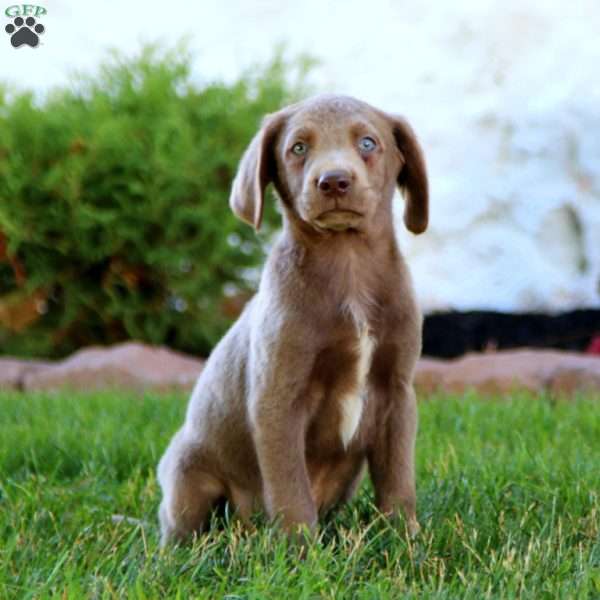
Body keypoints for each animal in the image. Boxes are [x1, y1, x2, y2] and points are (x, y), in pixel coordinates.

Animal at [157, 92, 428, 544]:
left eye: (368, 143)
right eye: (298, 148)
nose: (334, 181)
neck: (348, 267)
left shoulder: (397, 391)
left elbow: (398, 478)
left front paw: (404, 539)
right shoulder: (277, 398)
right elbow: (289, 485)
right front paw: (301, 549)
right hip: (187, 471)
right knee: (182, 527)